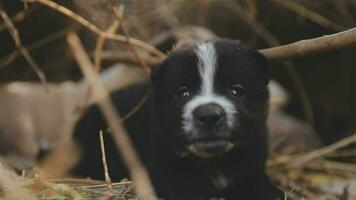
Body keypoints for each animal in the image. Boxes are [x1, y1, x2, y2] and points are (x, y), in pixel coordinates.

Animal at [73, 39, 286, 199]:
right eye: (183, 93)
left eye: (237, 91)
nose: (208, 115)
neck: (214, 161)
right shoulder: (163, 164)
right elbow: (186, 184)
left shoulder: (252, 156)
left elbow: (254, 181)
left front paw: (271, 193)